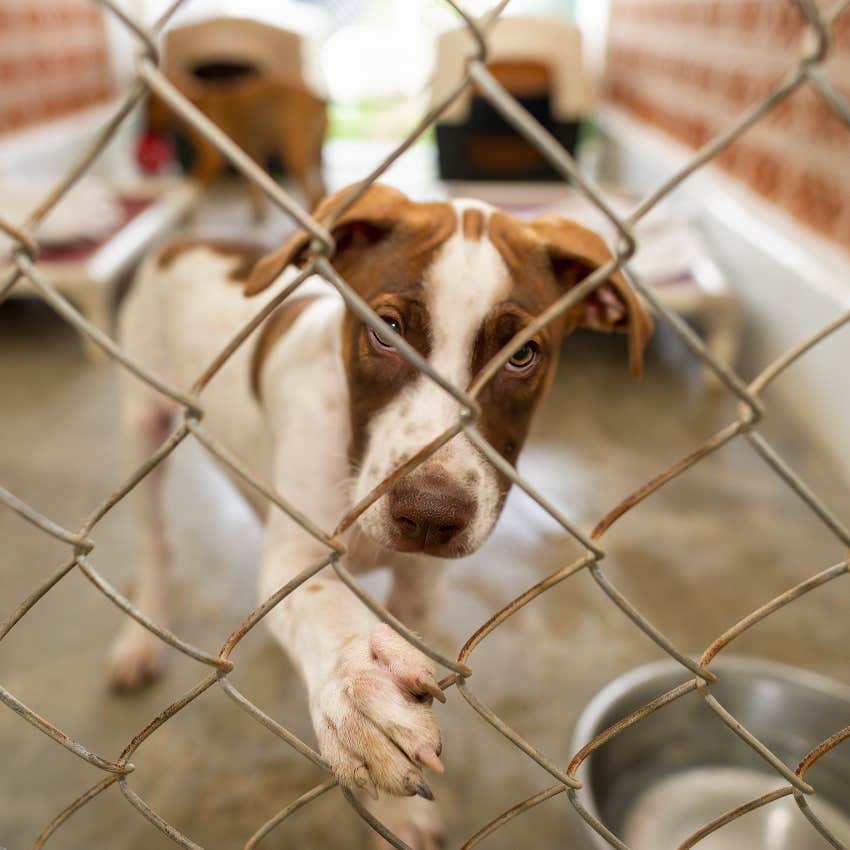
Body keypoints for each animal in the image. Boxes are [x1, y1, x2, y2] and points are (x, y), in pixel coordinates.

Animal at [107, 181, 648, 840]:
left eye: (523, 356)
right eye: (384, 331)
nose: (430, 515)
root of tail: (186, 239)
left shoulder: (419, 581)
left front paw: (395, 813)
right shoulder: (301, 553)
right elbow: (323, 608)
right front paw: (356, 689)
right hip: (142, 424)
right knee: (155, 542)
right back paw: (140, 640)